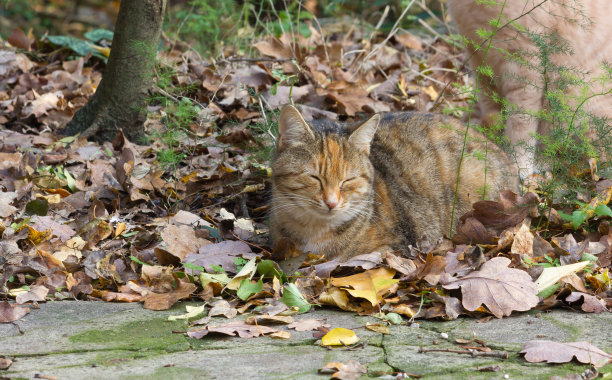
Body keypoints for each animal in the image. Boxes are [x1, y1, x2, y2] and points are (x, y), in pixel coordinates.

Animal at [444, 0, 612, 176]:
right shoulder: (479, 60)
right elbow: (491, 107)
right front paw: (491, 142)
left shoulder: (522, 64)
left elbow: (520, 124)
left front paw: (518, 164)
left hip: (572, 95)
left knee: (584, 155)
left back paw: (543, 162)